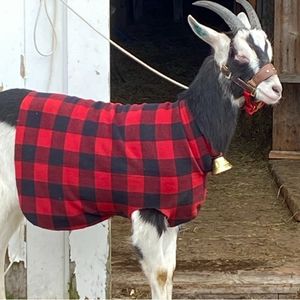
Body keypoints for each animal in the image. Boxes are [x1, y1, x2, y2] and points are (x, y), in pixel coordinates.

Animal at [0, 1, 282, 298]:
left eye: (268, 48)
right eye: (239, 55)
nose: (276, 89)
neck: (186, 127)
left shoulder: (172, 216)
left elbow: (170, 272)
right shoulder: (149, 212)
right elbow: (159, 273)